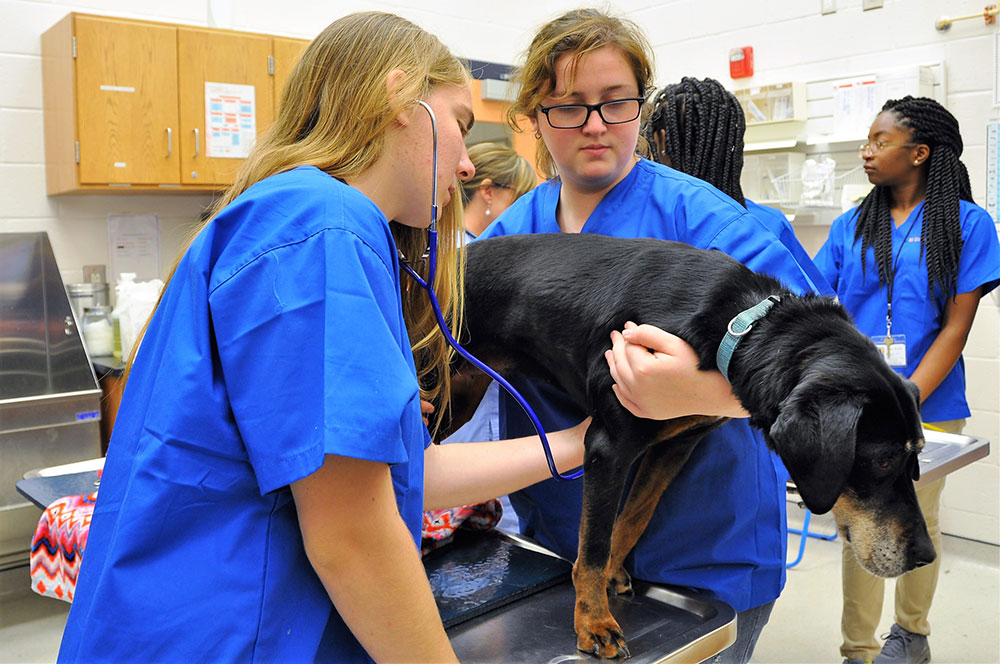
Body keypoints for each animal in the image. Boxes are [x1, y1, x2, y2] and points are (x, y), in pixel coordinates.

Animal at [458, 232, 932, 660]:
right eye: (882, 460)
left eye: (916, 455)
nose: (926, 556)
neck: (739, 324)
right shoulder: (608, 447)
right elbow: (591, 546)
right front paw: (593, 622)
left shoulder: (675, 445)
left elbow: (632, 519)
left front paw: (612, 574)